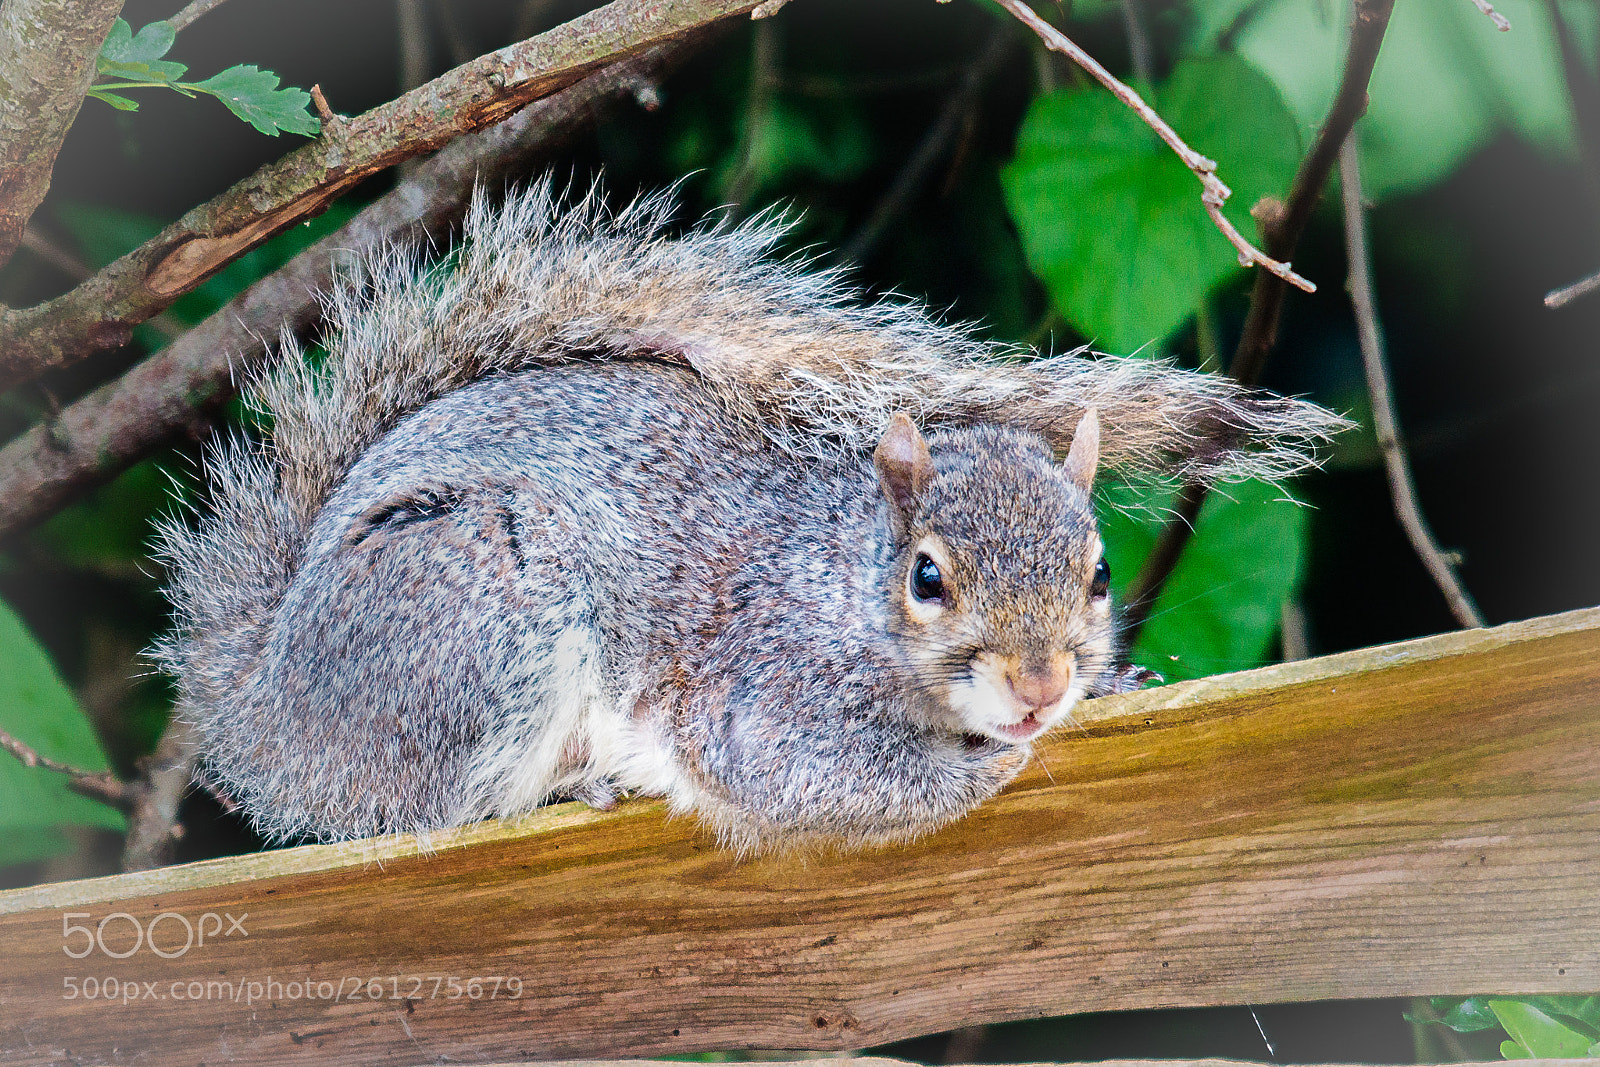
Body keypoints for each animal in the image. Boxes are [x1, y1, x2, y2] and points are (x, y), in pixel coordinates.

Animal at [153, 181, 1342, 853]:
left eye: (1097, 575)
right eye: (926, 577)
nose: (1043, 688)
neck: (842, 581)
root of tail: (268, 706)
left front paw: (1111, 684)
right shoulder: (761, 687)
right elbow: (817, 779)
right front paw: (989, 765)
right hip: (483, 610)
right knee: (431, 805)